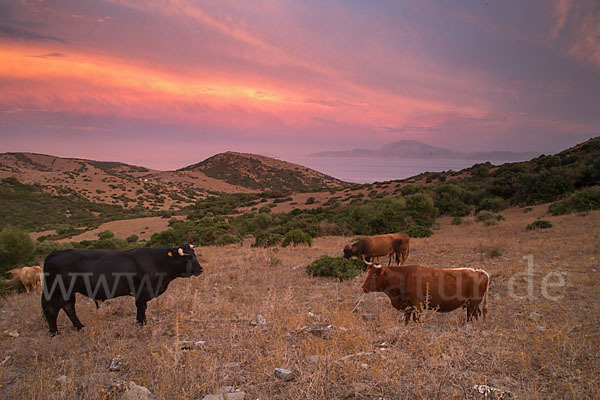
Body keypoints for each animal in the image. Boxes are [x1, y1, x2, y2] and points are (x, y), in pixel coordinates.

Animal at [41, 244, 204, 334]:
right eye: (188, 258)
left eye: (194, 255)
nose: (201, 269)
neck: (159, 261)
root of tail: (56, 253)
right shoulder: (141, 291)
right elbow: (141, 307)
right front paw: (142, 323)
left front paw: (139, 322)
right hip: (57, 291)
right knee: (52, 310)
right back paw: (54, 332)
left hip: (69, 292)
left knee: (69, 307)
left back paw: (80, 327)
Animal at [360, 260, 488, 324]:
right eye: (369, 273)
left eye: (375, 275)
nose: (363, 288)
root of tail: (479, 271)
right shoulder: (408, 307)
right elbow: (407, 321)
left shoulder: (417, 305)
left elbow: (416, 320)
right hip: (471, 305)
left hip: (474, 303)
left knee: (474, 316)